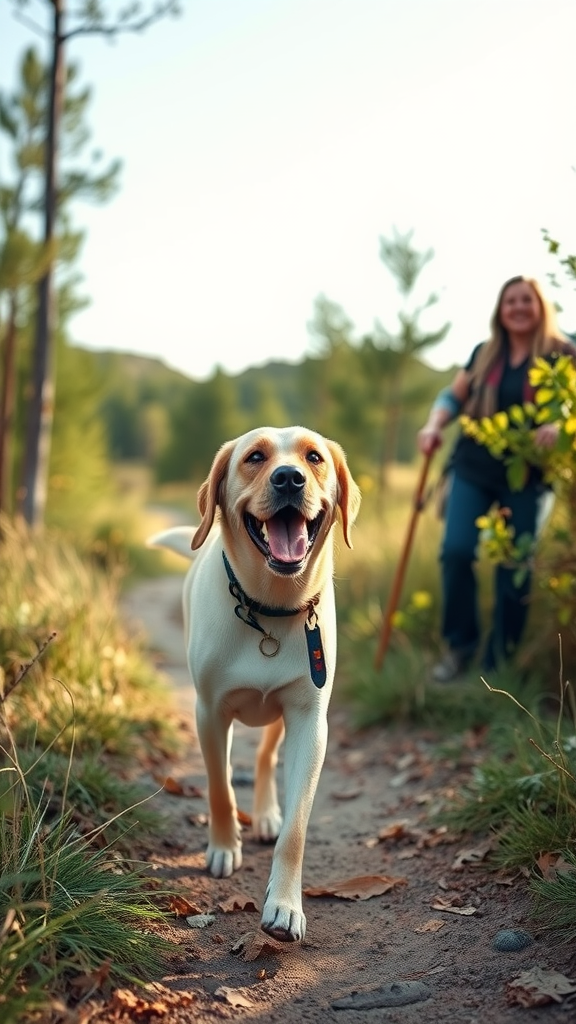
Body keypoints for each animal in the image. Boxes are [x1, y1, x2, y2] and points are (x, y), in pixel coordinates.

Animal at [146, 425, 358, 942]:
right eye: (255, 458)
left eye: (314, 457)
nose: (289, 478)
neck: (270, 610)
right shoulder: (209, 712)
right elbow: (220, 787)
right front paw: (224, 847)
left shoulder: (310, 723)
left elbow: (296, 829)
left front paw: (284, 906)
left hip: (282, 718)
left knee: (264, 759)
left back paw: (264, 814)